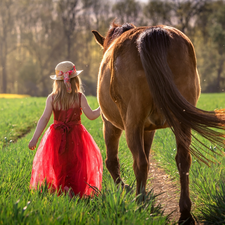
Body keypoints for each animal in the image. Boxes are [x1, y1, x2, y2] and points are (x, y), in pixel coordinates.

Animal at [92, 22, 225, 224]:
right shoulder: (148, 130)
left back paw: (139, 206)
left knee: (140, 162)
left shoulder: (110, 124)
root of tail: (152, 32)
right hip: (181, 122)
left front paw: (127, 190)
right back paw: (185, 213)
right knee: (183, 160)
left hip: (132, 123)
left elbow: (112, 162)